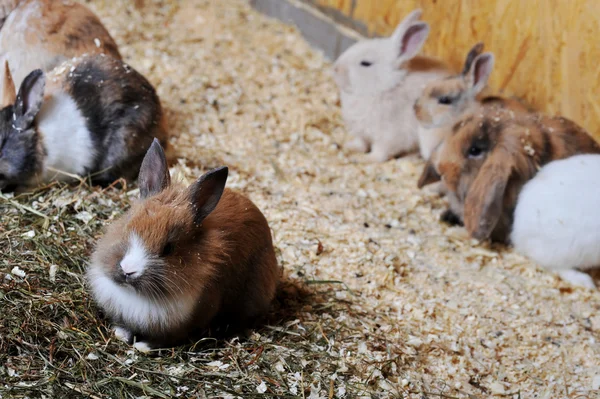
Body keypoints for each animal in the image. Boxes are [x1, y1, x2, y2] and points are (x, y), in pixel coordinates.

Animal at [86, 140, 278, 350]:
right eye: (127, 226)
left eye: (168, 248)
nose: (128, 270)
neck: (136, 295)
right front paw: (120, 334)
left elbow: (165, 339)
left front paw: (143, 346)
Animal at [332, 9, 450, 162]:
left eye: (366, 63)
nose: (335, 69)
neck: (385, 87)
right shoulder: (360, 131)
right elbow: (361, 143)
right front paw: (350, 146)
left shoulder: (388, 137)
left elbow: (380, 152)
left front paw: (367, 159)